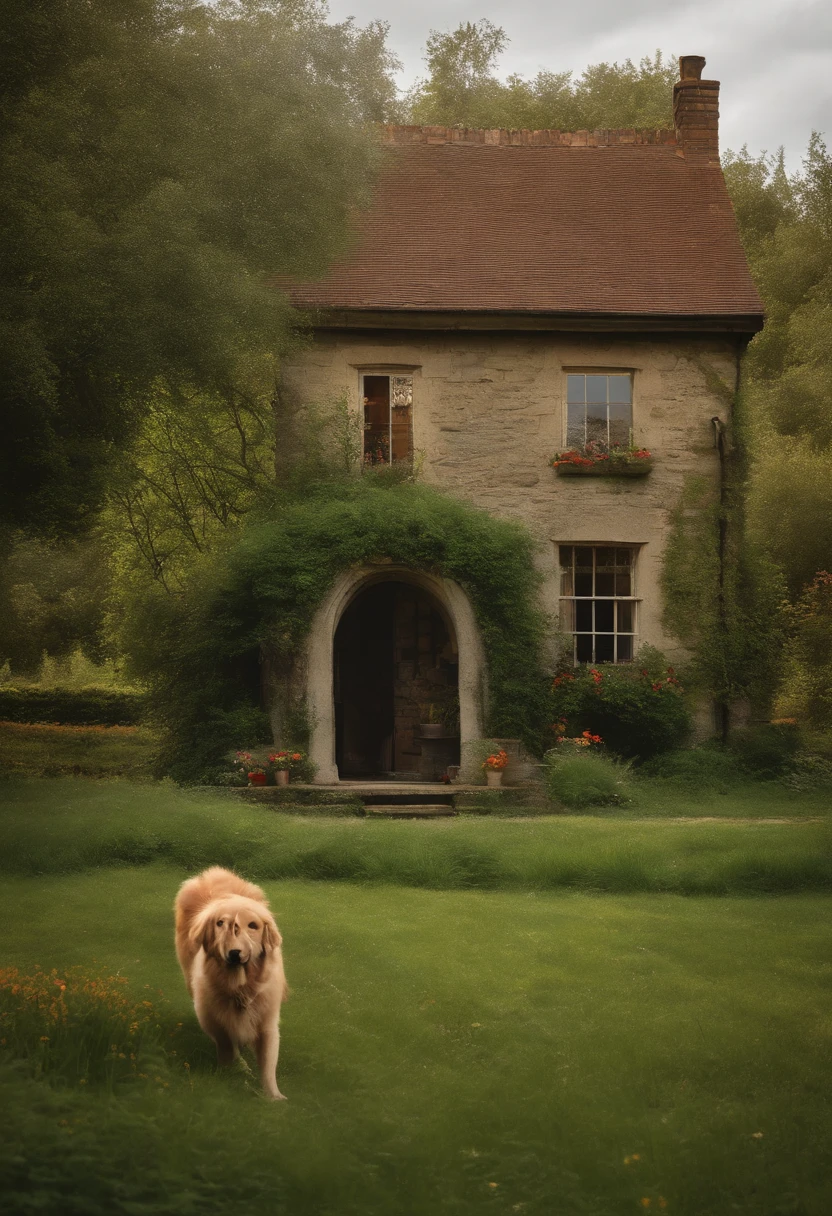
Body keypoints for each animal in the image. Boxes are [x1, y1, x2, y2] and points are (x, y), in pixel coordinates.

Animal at [173, 870, 287, 1099]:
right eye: (220, 924)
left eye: (253, 925)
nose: (234, 953)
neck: (240, 987)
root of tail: (213, 872)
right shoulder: (212, 1016)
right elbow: (227, 1044)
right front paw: (235, 1070)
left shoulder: (267, 1019)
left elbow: (268, 1063)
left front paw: (274, 1097)